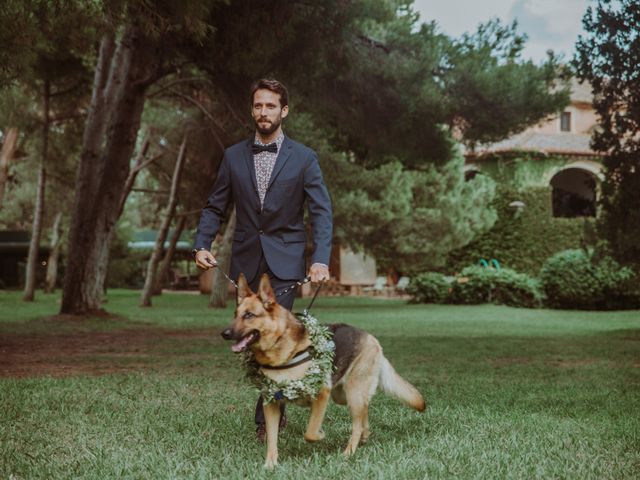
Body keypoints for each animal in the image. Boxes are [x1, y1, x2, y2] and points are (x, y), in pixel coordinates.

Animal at [220, 274, 424, 468]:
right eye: (235, 314)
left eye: (249, 315)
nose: (224, 333)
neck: (281, 350)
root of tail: (372, 339)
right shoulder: (271, 402)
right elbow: (272, 439)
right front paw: (270, 465)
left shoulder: (321, 394)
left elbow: (310, 432)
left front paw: (320, 435)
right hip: (343, 396)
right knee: (364, 412)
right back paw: (365, 435)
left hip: (352, 393)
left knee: (357, 424)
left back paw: (348, 452)